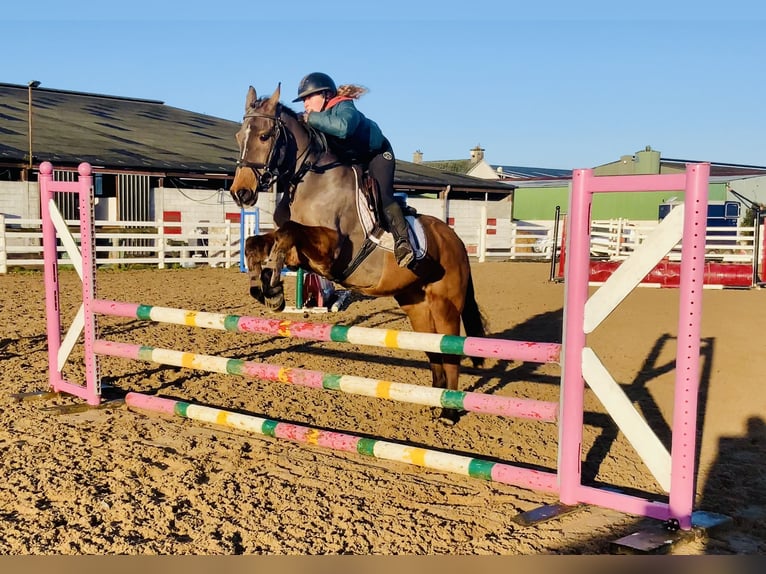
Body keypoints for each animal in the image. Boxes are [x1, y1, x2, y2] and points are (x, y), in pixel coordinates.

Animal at [229, 84, 487, 421]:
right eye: (238, 136)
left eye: (264, 136)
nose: (241, 192)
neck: (309, 180)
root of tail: (455, 240)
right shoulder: (305, 255)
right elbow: (256, 242)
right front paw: (265, 289)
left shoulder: (331, 252)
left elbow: (288, 233)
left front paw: (271, 284)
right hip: (416, 304)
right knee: (434, 349)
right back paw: (435, 400)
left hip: (445, 305)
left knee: (450, 350)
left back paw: (450, 412)